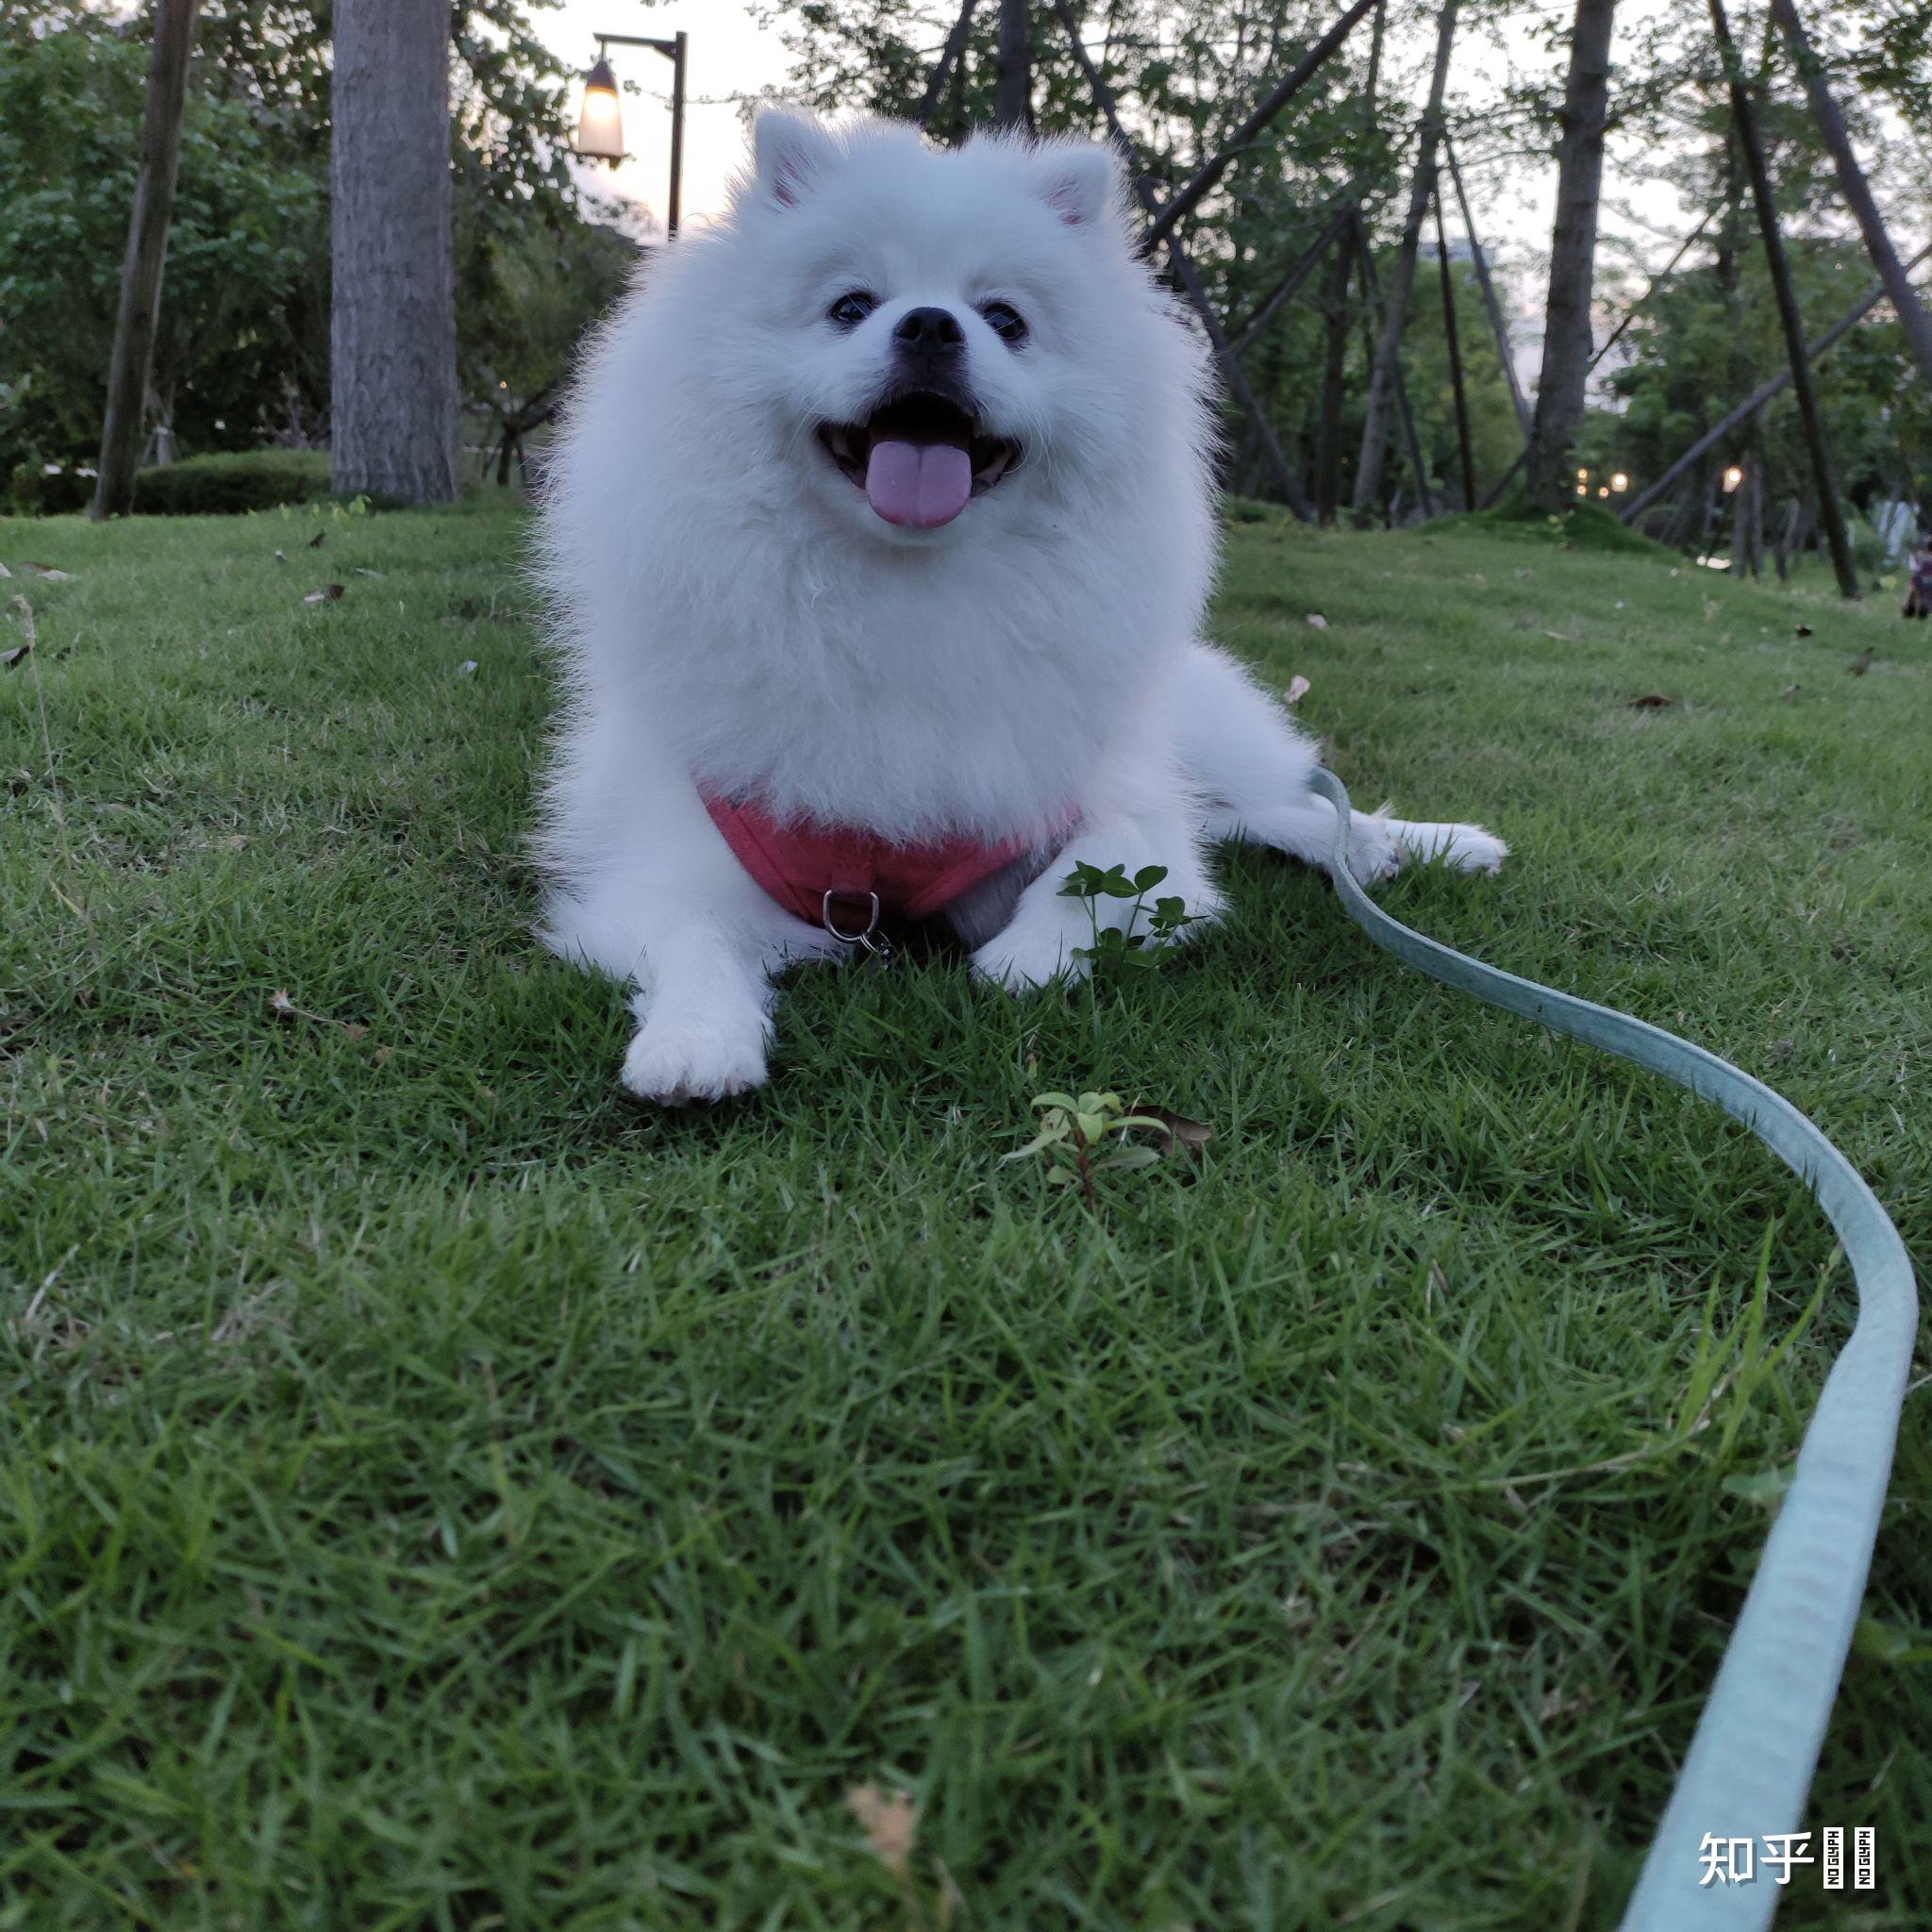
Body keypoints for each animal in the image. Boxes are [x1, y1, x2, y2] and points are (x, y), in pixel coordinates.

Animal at [541, 112, 1507, 1105]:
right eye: (850, 306)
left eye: (1006, 321)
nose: (931, 325)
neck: (910, 594)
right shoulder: (674, 854)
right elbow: (694, 939)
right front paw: (695, 1042)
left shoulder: (1111, 798)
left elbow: (1103, 870)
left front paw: (1026, 958)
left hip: (1189, 731)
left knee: (1272, 803)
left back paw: (1420, 842)